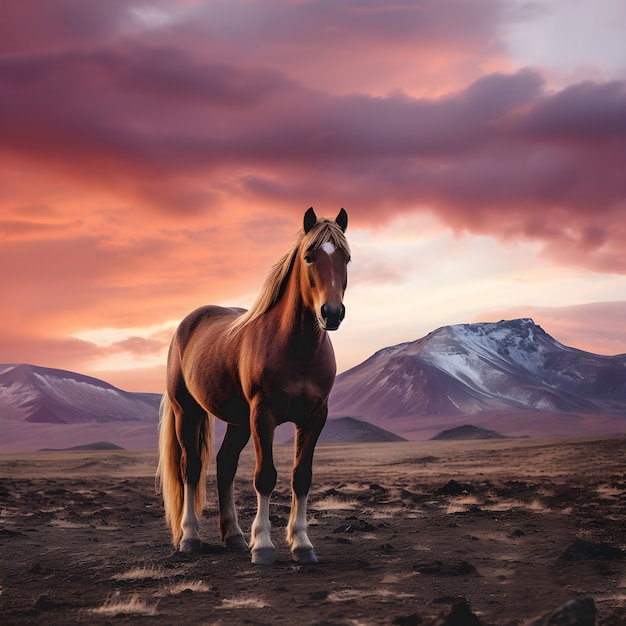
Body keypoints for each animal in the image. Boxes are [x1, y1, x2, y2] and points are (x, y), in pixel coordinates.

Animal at [154, 207, 348, 564]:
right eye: (309, 257)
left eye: (346, 258)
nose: (331, 313)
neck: (296, 348)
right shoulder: (263, 415)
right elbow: (265, 477)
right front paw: (264, 546)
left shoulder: (315, 417)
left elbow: (302, 477)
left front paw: (302, 544)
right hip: (187, 411)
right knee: (191, 468)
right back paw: (190, 537)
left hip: (238, 421)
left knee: (225, 465)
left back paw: (233, 536)